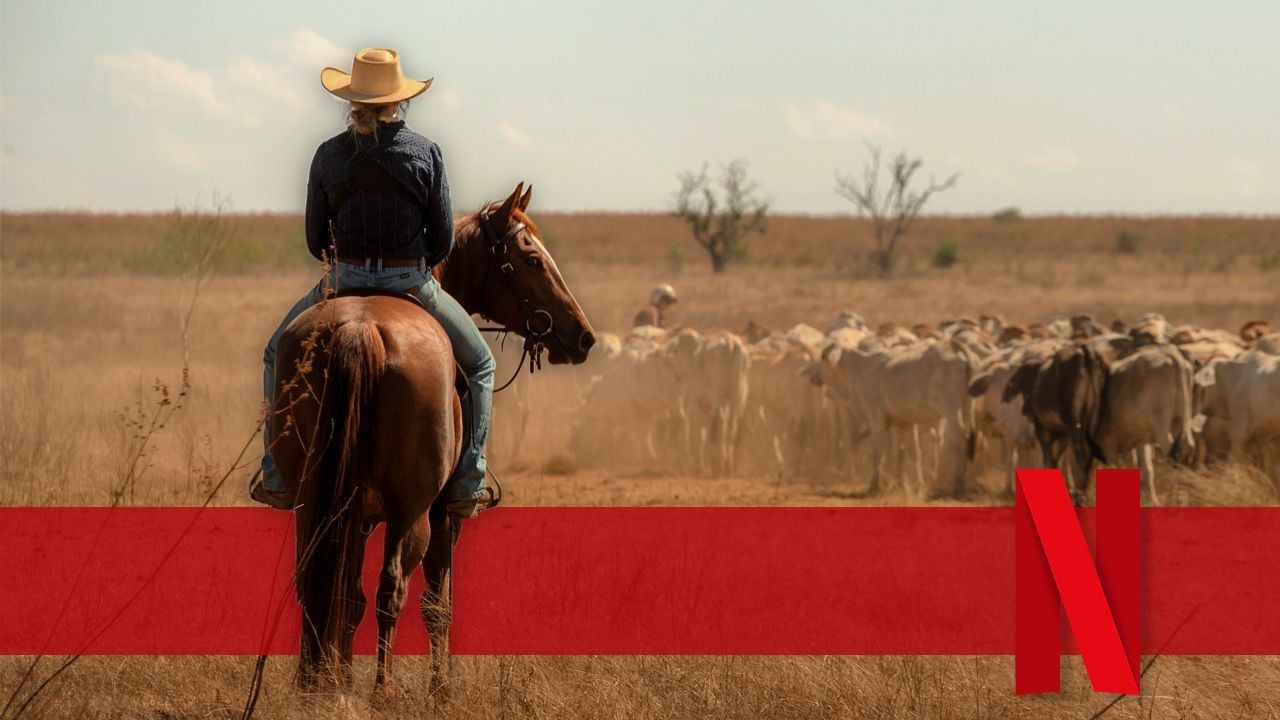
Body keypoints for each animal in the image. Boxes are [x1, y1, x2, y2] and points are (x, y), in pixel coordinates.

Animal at [275, 183, 593, 691]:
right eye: (532, 260)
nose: (583, 337)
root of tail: (360, 328)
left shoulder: (354, 514)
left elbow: (346, 597)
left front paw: (339, 681)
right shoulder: (446, 516)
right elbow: (437, 605)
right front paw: (439, 690)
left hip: (313, 499)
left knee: (318, 582)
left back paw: (314, 686)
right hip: (414, 511)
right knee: (393, 590)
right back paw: (382, 692)